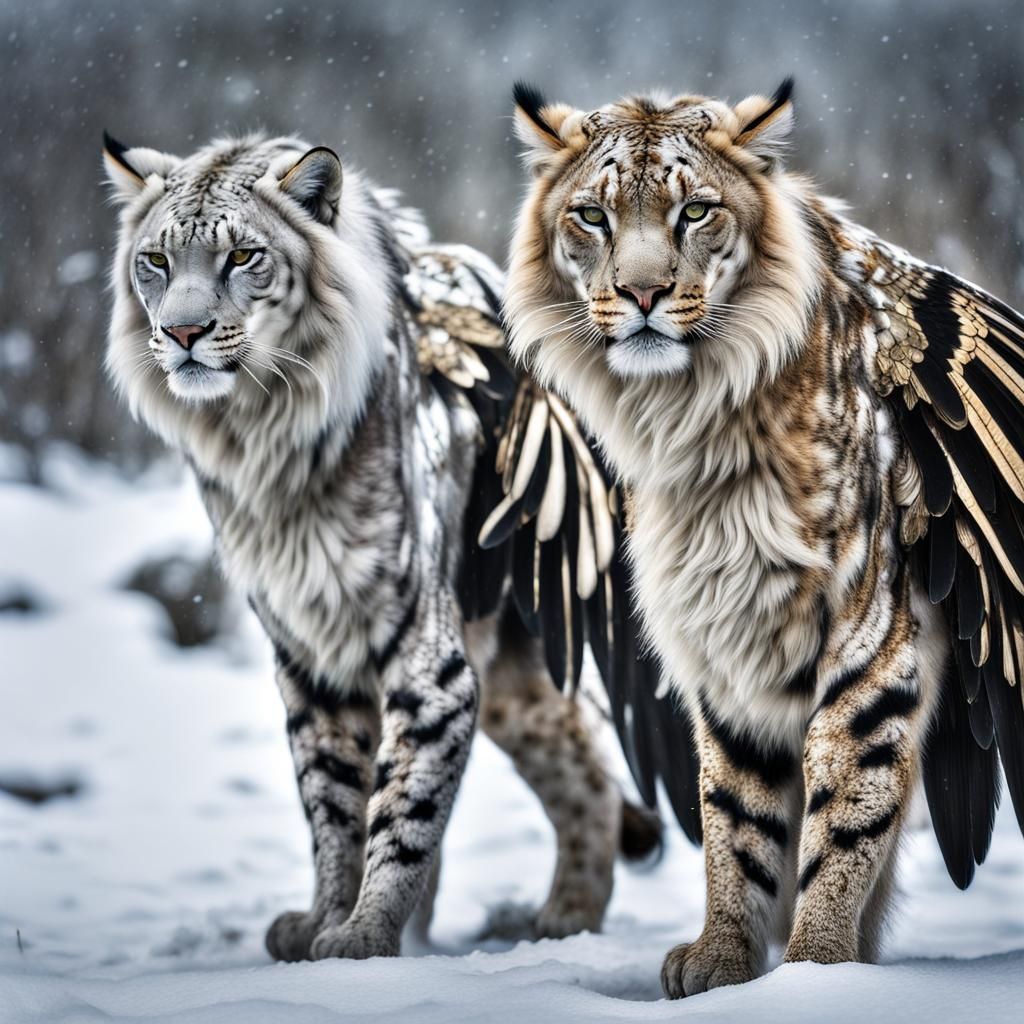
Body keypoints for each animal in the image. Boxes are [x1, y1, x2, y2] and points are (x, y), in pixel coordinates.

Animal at [101, 131, 662, 961]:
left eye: (243, 257)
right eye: (156, 262)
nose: (182, 334)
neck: (259, 439)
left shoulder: (424, 653)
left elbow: (404, 810)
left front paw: (364, 937)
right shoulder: (310, 653)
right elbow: (333, 802)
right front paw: (326, 922)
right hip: (521, 675)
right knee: (584, 767)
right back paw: (563, 926)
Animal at [503, 80, 1024, 996]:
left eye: (696, 212)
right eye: (593, 216)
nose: (642, 295)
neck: (692, 422)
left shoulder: (871, 636)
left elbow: (844, 809)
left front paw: (818, 972)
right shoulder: (727, 635)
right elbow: (736, 812)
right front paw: (724, 960)